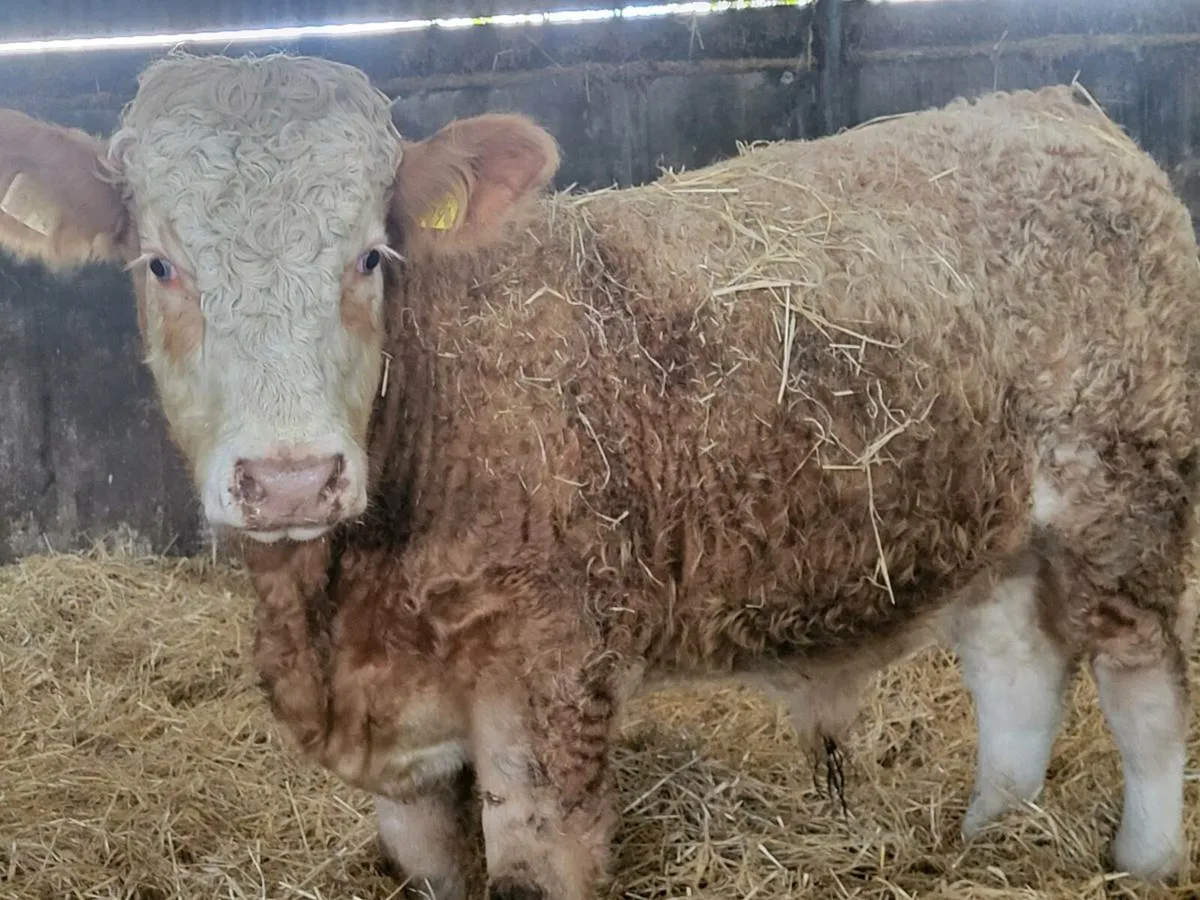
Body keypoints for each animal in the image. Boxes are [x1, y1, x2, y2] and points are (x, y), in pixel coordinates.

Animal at [0, 53, 1198, 899]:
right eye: (160, 263)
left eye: (372, 254)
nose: (292, 479)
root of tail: (1055, 107)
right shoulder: (409, 759)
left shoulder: (547, 685)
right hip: (993, 521)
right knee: (1016, 668)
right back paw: (989, 839)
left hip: (1125, 494)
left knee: (1141, 685)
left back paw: (1139, 863)